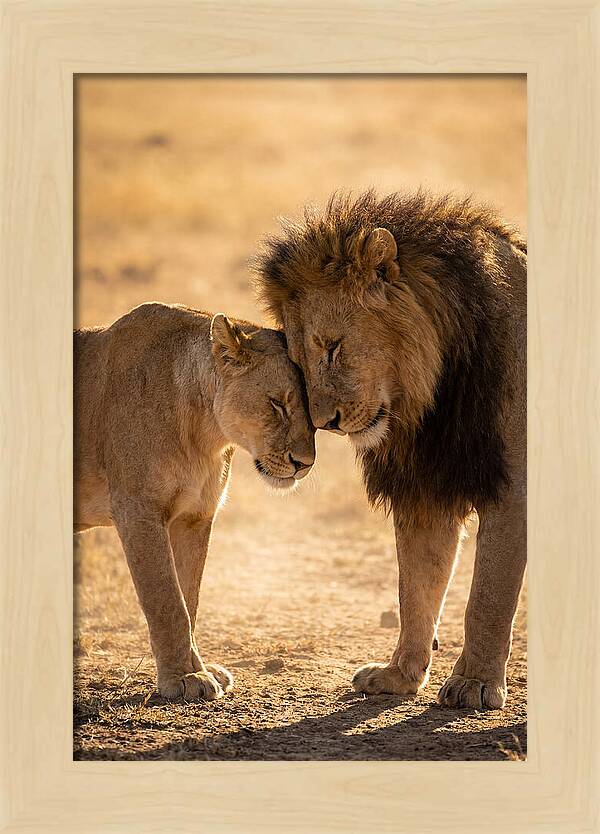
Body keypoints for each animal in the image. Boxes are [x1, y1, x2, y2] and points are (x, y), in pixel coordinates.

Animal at [74, 302, 315, 701]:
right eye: (277, 404)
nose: (305, 463)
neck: (205, 433)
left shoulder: (194, 517)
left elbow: (189, 599)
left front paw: (200, 669)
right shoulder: (138, 511)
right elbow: (167, 602)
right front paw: (182, 679)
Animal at [255, 189, 526, 709]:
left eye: (333, 347)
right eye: (298, 361)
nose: (326, 423)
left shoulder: (514, 489)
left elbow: (488, 595)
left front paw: (474, 683)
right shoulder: (426, 490)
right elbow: (415, 588)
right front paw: (399, 675)